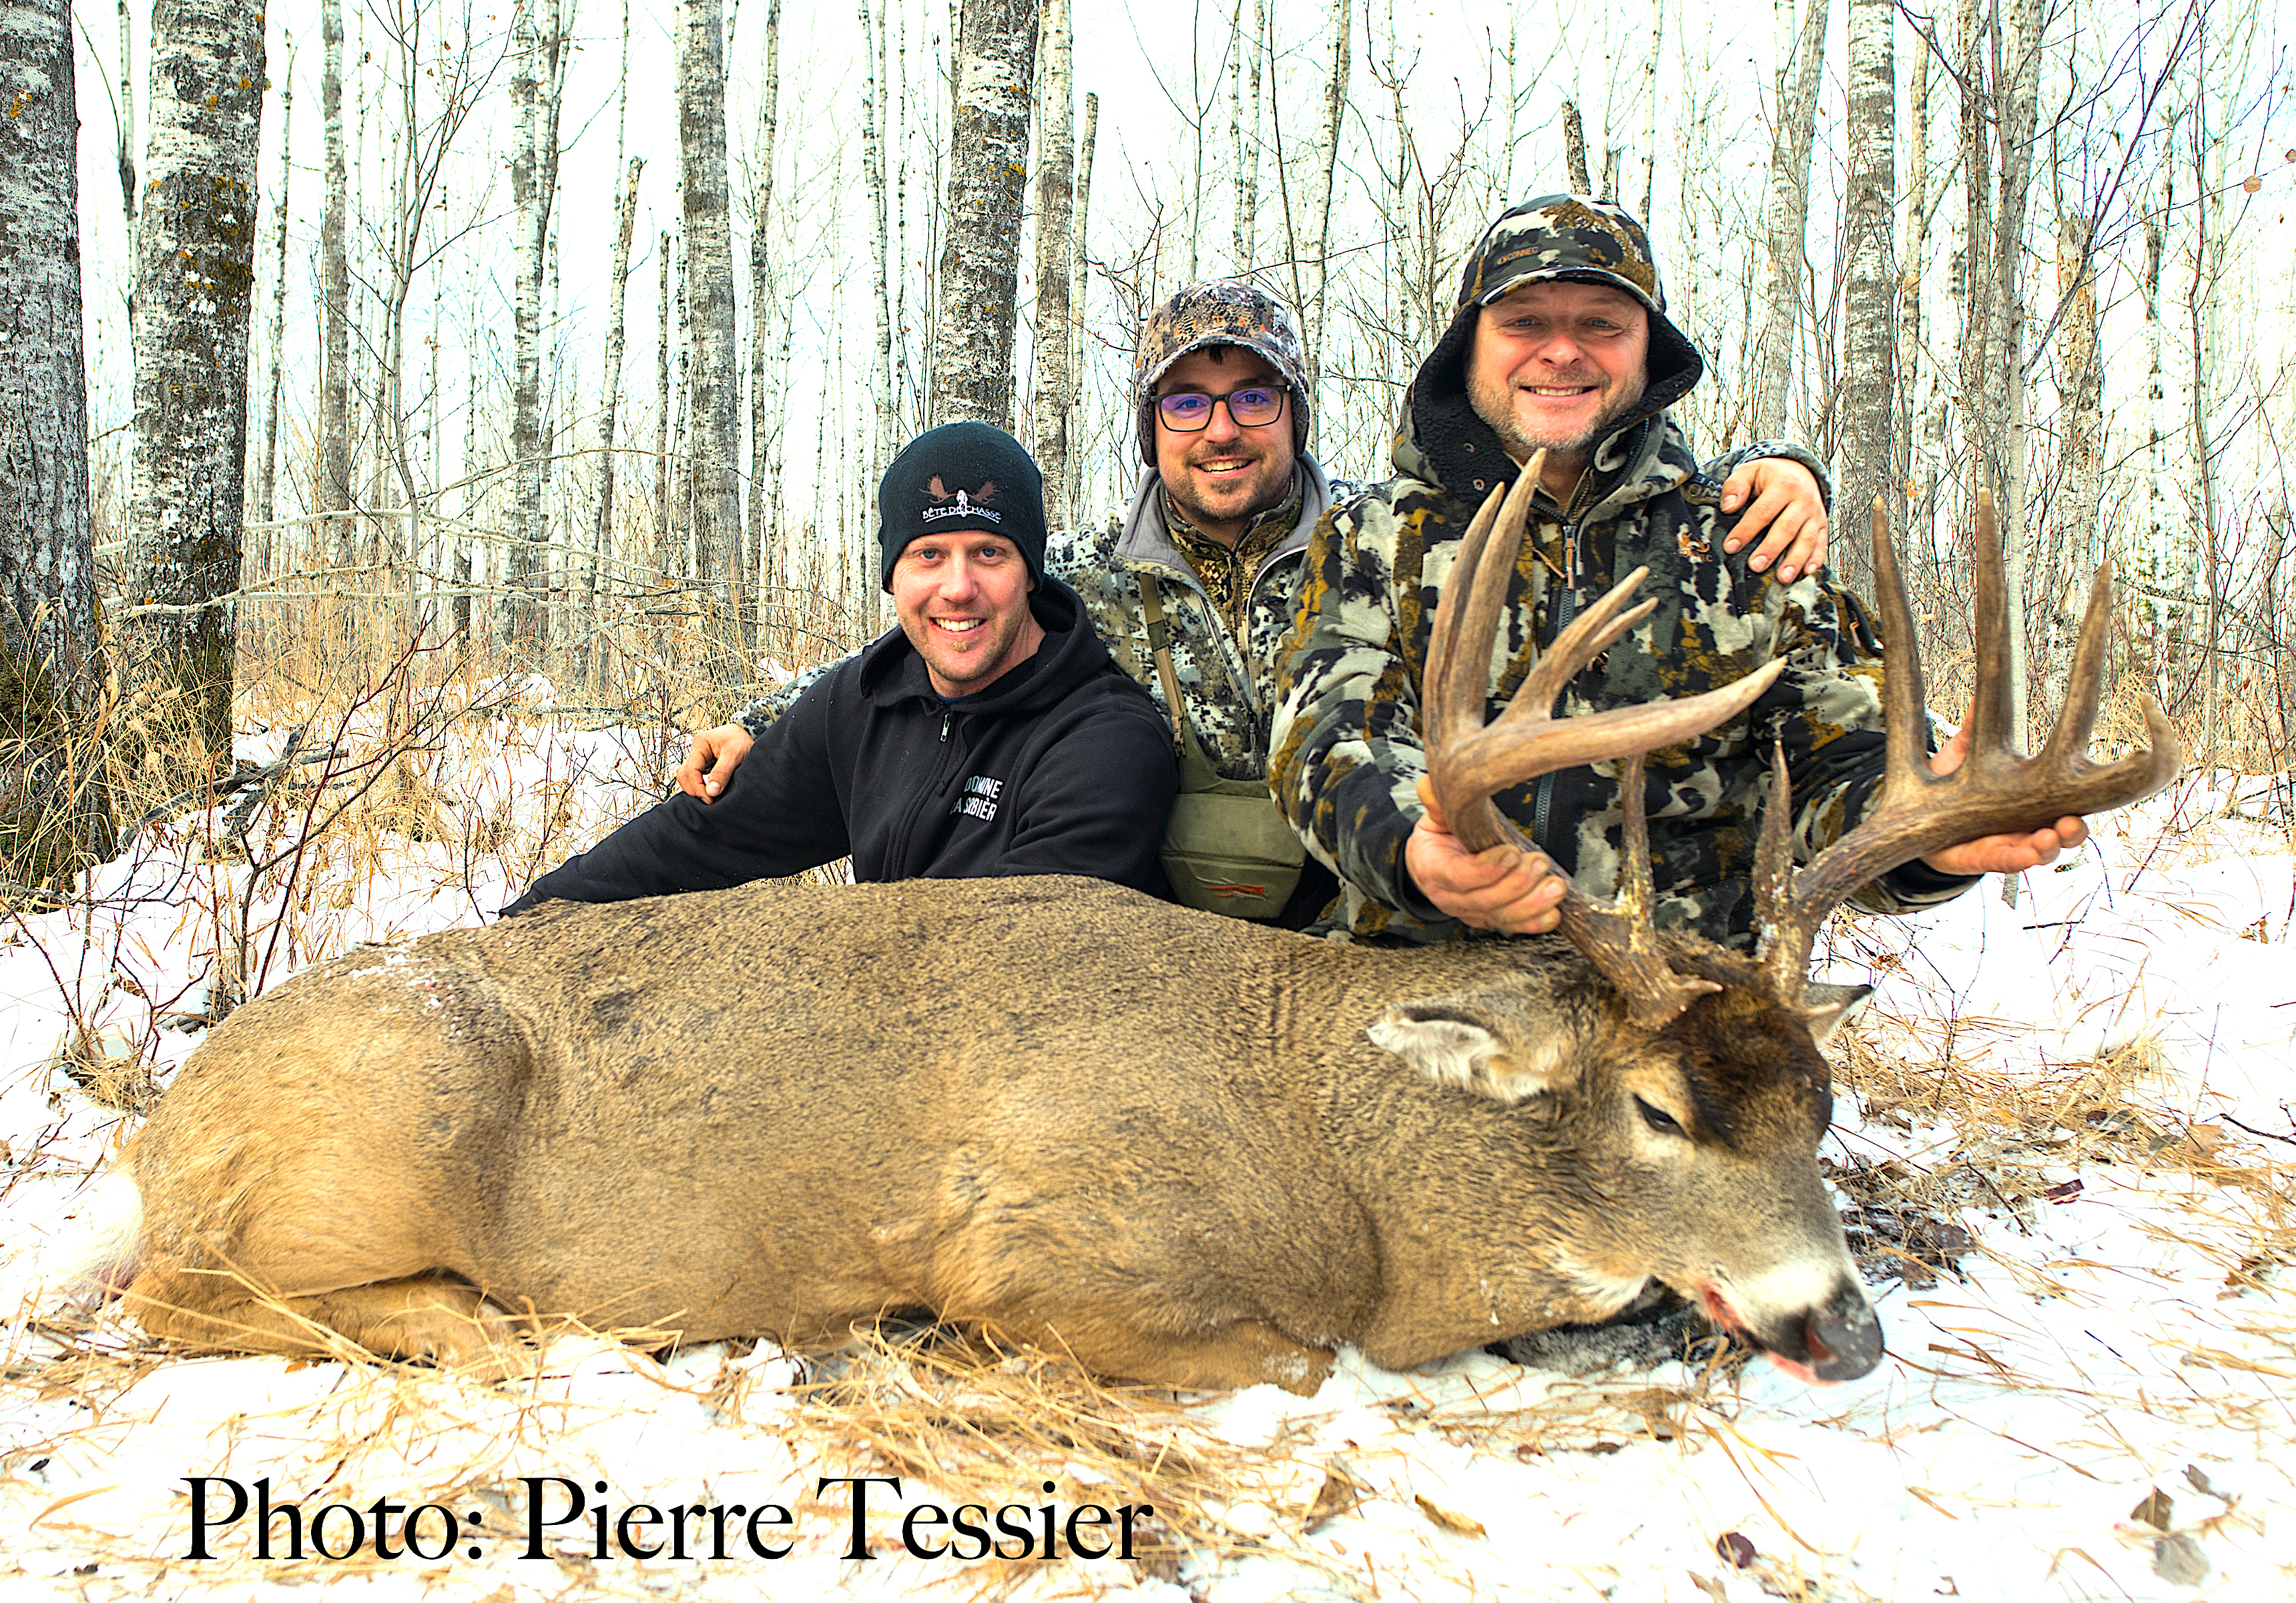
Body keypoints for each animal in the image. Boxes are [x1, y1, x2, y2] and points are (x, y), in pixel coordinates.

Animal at [98, 466, 2177, 1387]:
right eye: (1659, 1111)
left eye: (1822, 1110)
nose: (1847, 1327)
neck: (1346, 1163)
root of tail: (162, 1121)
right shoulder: (1048, 1251)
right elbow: (1298, 1359)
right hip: (404, 1094)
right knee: (191, 1290)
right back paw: (498, 1323)